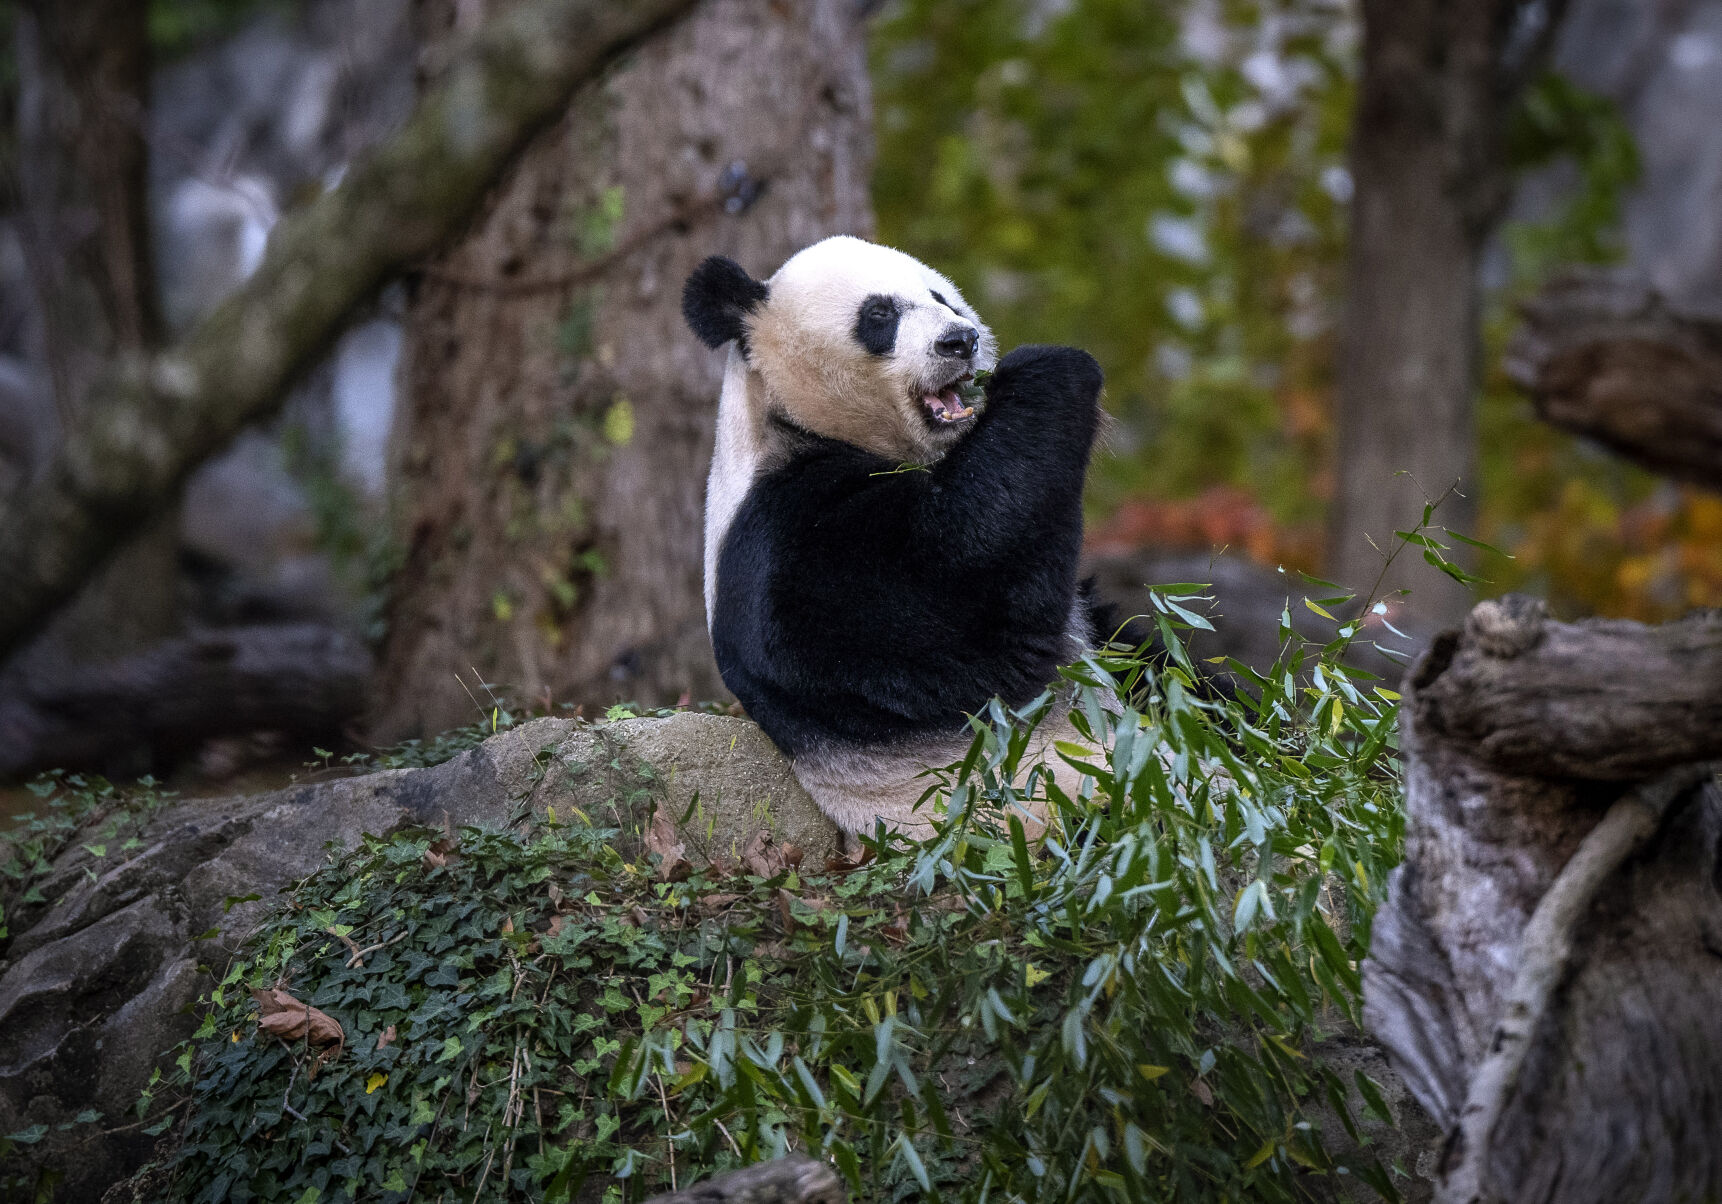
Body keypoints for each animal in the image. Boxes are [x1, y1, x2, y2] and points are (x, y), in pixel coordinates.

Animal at [678, 235, 1108, 837]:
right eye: (879, 315)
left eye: (941, 297)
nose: (961, 340)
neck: (793, 422)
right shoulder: (791, 546)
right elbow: (971, 587)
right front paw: (1049, 368)